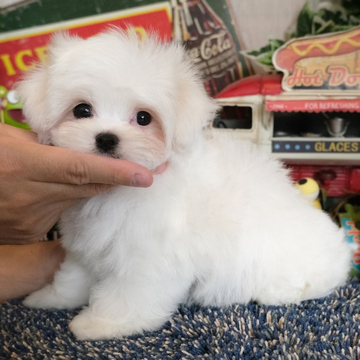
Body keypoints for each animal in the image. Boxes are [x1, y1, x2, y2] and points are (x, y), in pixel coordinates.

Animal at [16, 28, 348, 340]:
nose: (106, 139)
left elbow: (129, 295)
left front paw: (102, 324)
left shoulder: (148, 258)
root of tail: (339, 249)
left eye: (144, 118)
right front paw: (52, 298)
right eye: (82, 110)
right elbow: (74, 275)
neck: (116, 192)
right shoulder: (88, 244)